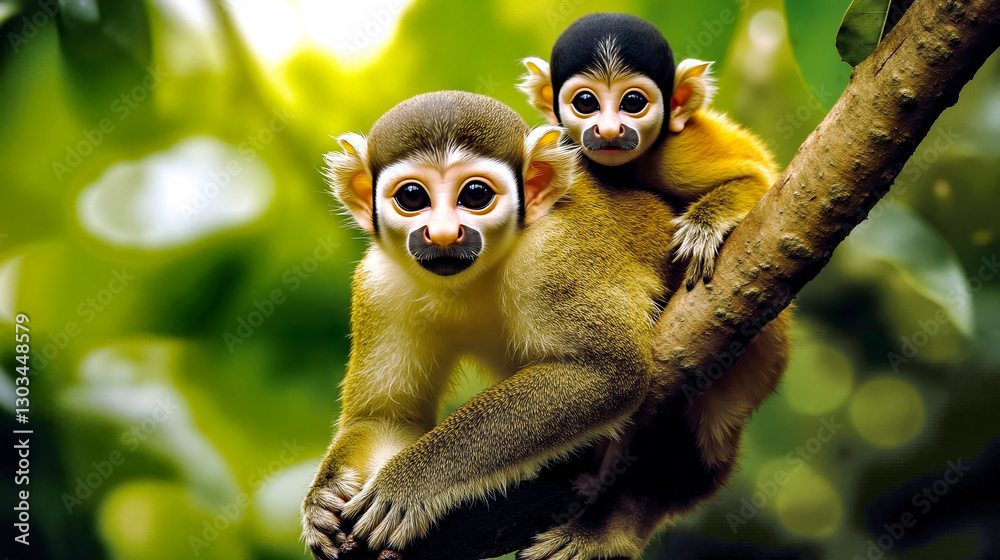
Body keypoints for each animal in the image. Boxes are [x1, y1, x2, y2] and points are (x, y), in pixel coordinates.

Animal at [300, 90, 680, 560]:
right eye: (412, 197)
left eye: (476, 194)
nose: (444, 234)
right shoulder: (379, 285)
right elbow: (387, 417)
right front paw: (325, 494)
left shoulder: (553, 251)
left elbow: (608, 370)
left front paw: (411, 482)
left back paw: (606, 528)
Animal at [518, 12, 780, 290]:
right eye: (585, 102)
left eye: (633, 102)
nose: (609, 130)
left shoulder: (674, 157)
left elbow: (756, 180)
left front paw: (703, 229)